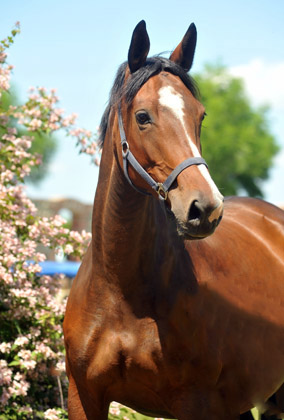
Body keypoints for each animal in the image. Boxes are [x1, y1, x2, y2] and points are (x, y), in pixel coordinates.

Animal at [63, 20, 284, 420]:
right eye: (143, 117)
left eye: (200, 116)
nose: (206, 208)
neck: (122, 293)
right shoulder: (82, 395)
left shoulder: (195, 403)